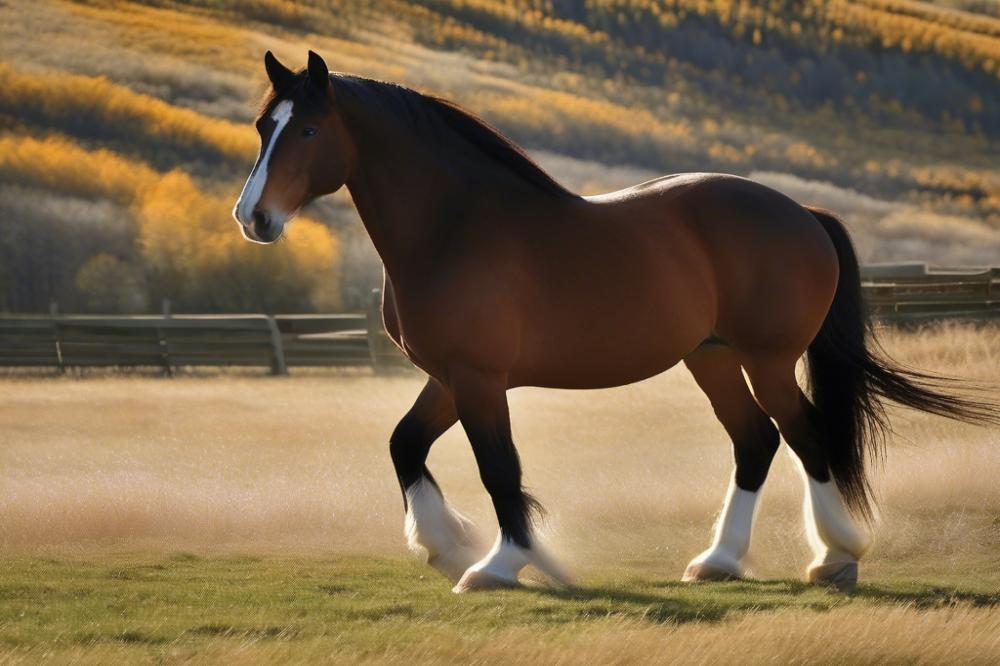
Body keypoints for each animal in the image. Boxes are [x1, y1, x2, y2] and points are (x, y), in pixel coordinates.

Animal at [232, 52, 992, 592]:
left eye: (307, 129)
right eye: (264, 127)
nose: (253, 217)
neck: (455, 226)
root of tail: (804, 213)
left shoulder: (479, 378)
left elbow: (498, 468)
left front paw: (503, 563)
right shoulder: (451, 377)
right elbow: (404, 446)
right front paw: (447, 545)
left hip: (766, 357)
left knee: (805, 434)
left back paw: (836, 556)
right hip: (711, 356)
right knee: (756, 441)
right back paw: (718, 560)